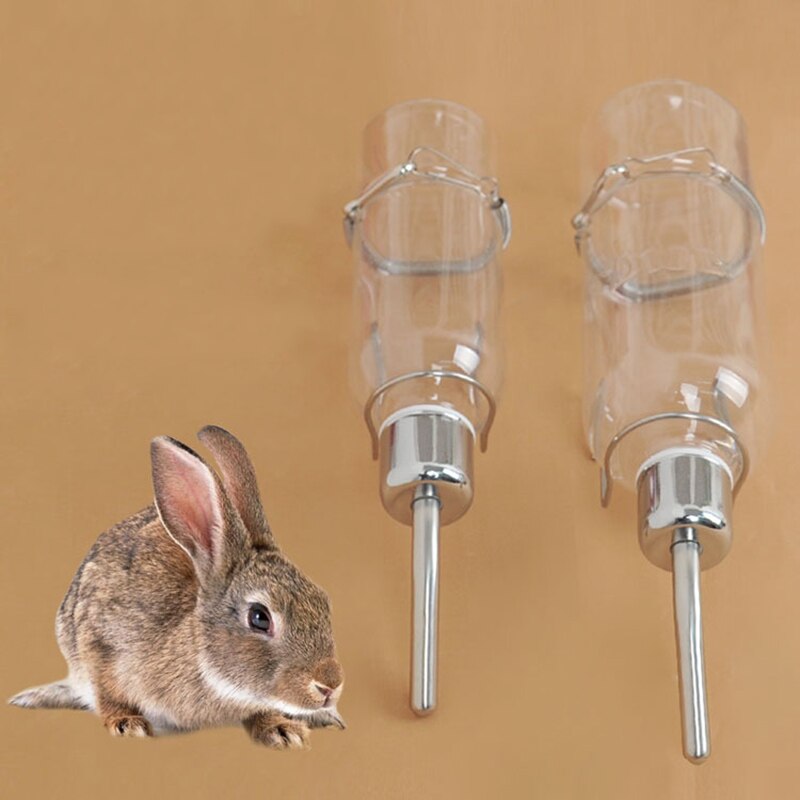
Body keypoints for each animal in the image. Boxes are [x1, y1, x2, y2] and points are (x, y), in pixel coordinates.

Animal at [9, 425, 344, 749]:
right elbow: (108, 696)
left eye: (323, 602)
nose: (330, 685)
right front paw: (128, 725)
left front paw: (283, 729)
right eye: (260, 617)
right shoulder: (99, 643)